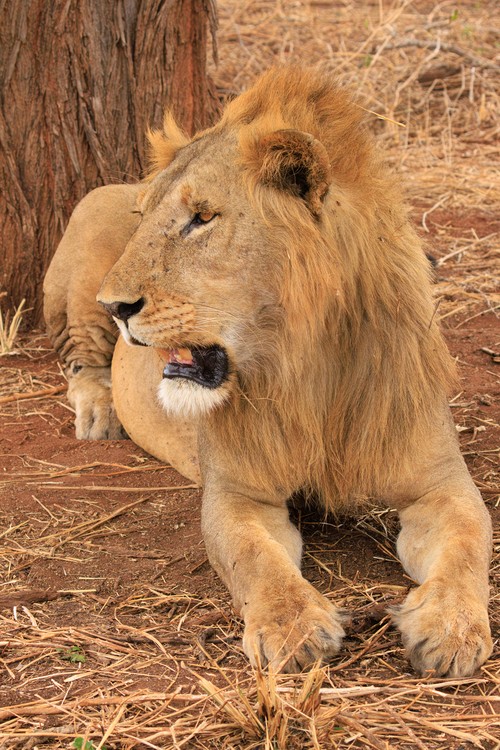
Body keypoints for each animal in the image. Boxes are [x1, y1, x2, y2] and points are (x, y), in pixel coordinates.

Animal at [44, 67, 492, 676]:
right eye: (145, 218)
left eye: (203, 217)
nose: (117, 306)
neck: (308, 368)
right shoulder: (237, 492)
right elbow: (255, 557)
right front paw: (293, 628)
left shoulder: (440, 481)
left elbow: (472, 537)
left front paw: (451, 628)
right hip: (81, 270)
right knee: (80, 359)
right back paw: (98, 413)